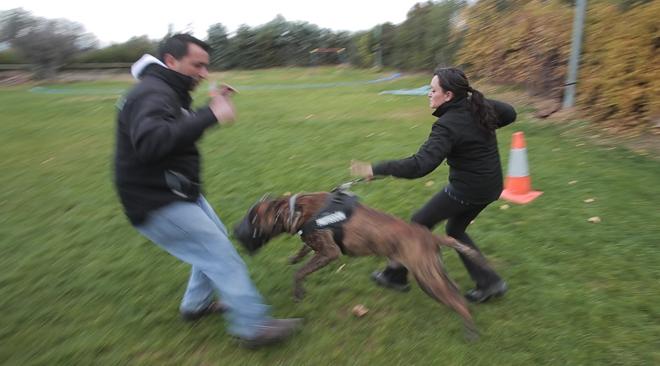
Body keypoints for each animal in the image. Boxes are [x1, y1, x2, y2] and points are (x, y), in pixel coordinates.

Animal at [233, 192, 490, 340]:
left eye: (252, 219)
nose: (235, 231)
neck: (294, 209)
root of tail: (431, 237)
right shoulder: (316, 245)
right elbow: (303, 250)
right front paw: (294, 257)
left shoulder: (329, 252)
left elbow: (300, 272)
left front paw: (297, 291)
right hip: (434, 272)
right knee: (455, 290)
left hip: (427, 278)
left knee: (456, 301)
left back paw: (470, 330)